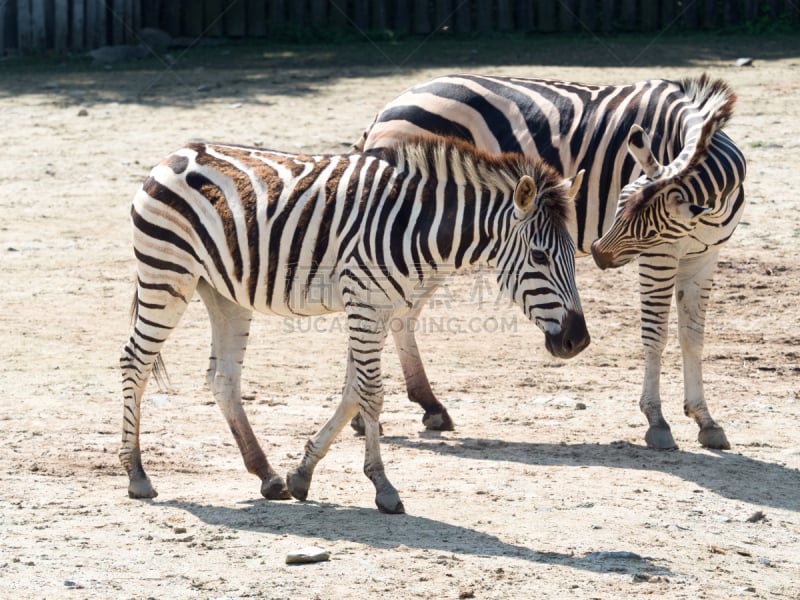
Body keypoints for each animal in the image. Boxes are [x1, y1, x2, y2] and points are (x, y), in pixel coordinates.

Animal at [120, 137, 592, 516]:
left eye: (573, 252)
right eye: (539, 256)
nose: (578, 341)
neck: (416, 227)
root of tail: (175, 154)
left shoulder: (383, 309)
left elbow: (352, 394)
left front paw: (301, 474)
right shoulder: (364, 302)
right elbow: (371, 393)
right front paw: (383, 487)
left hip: (224, 293)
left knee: (223, 379)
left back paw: (266, 475)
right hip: (167, 273)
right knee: (135, 362)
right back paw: (137, 475)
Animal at [354, 72, 748, 450]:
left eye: (642, 224)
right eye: (619, 203)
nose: (600, 252)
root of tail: (389, 107)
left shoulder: (704, 257)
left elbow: (693, 338)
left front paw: (706, 420)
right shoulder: (660, 255)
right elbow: (655, 335)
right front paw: (657, 421)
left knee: (401, 315)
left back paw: (426, 408)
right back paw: (369, 415)